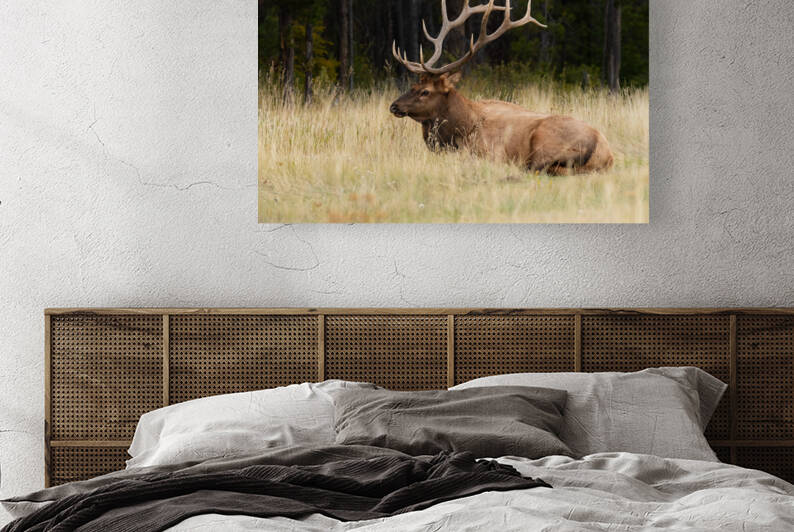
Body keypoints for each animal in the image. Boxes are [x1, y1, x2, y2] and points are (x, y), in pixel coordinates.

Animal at [389, 0, 614, 176]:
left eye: (425, 91)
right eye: (413, 85)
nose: (394, 106)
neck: (461, 128)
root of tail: (605, 152)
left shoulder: (488, 152)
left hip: (544, 140)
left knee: (538, 167)